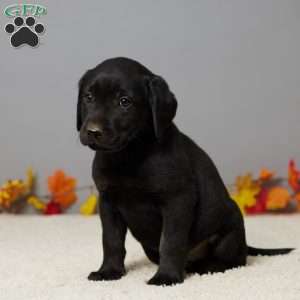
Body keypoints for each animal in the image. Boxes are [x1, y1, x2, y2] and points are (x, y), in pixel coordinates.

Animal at [77, 56, 292, 286]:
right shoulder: (108, 202)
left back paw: (207, 267)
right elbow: (111, 241)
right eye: (89, 97)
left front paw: (166, 277)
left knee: (236, 260)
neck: (130, 155)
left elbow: (171, 241)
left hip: (231, 224)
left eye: (124, 101)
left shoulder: (177, 200)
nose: (92, 131)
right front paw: (109, 271)